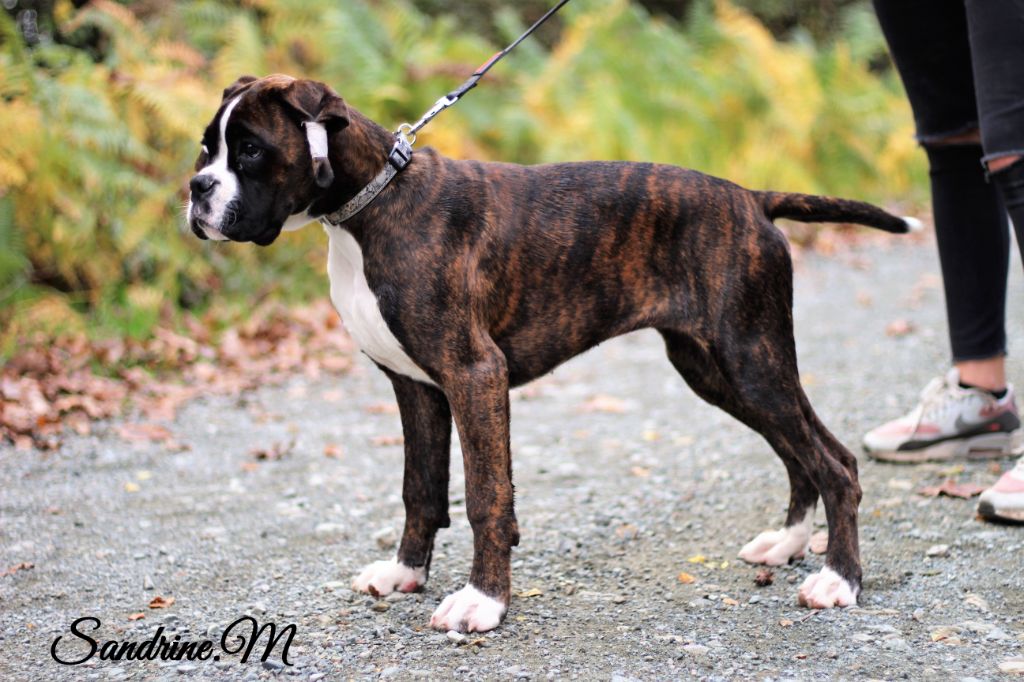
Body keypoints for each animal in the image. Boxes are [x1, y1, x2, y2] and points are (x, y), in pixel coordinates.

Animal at [187, 74, 918, 633]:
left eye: (249, 151)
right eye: (206, 147)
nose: (196, 188)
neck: (370, 206)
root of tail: (752, 198)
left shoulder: (474, 377)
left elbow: (485, 497)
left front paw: (482, 601)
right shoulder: (416, 388)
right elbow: (420, 488)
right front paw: (403, 573)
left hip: (750, 360)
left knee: (835, 463)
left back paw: (840, 581)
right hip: (718, 368)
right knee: (805, 452)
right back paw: (790, 542)